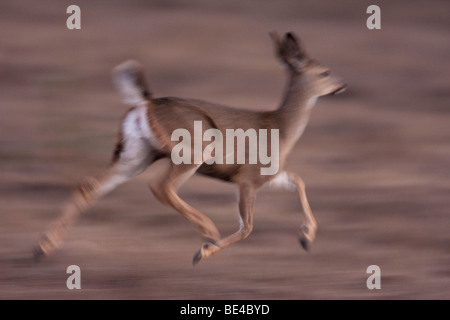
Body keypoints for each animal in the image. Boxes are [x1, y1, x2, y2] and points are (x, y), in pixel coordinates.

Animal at [33, 31, 346, 264]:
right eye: (325, 72)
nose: (341, 85)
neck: (280, 127)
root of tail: (145, 102)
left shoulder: (266, 176)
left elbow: (298, 181)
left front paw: (306, 238)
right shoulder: (247, 178)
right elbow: (248, 226)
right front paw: (202, 252)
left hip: (136, 155)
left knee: (91, 185)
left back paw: (42, 248)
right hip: (192, 151)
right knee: (161, 186)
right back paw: (208, 230)